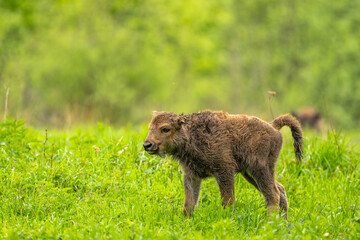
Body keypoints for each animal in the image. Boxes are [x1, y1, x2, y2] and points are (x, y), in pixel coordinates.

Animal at [142, 110, 302, 219]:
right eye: (150, 128)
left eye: (165, 129)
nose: (147, 145)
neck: (192, 134)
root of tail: (273, 126)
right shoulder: (191, 175)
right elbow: (189, 203)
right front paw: (186, 221)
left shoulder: (224, 171)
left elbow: (227, 200)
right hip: (250, 174)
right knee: (279, 189)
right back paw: (282, 222)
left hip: (260, 169)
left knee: (273, 194)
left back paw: (268, 221)